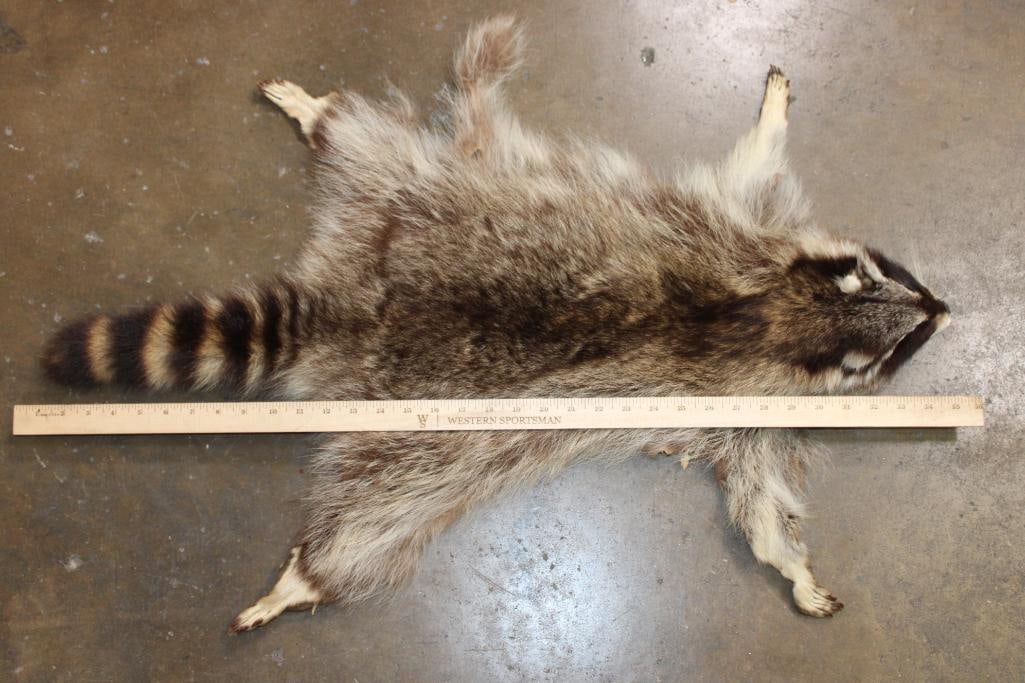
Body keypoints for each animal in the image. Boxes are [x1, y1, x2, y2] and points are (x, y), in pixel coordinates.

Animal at [41, 17, 950, 632]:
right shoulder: (739, 278)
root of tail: (352, 307)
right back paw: (311, 575)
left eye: (897, 285)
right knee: (369, 524)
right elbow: (759, 505)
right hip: (433, 429)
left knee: (366, 147)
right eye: (897, 339)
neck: (785, 308)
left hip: (400, 200)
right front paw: (791, 567)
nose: (943, 308)